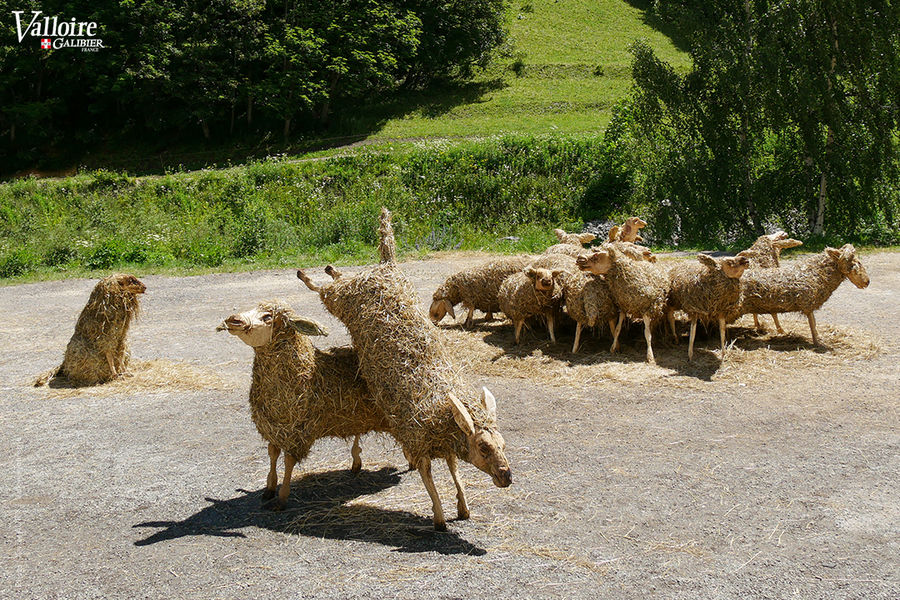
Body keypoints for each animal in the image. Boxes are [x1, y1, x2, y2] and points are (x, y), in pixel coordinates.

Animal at [217, 301, 394, 510]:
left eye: (268, 316)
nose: (233, 319)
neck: (307, 370)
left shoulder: (297, 433)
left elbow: (288, 461)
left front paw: (282, 498)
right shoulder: (274, 430)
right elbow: (272, 454)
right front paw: (269, 489)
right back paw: (356, 463)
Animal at [297, 208, 511, 531]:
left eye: (502, 445)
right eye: (484, 448)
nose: (506, 476)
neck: (440, 407)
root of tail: (386, 266)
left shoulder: (445, 445)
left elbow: (455, 472)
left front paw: (463, 507)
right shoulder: (418, 441)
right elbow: (430, 482)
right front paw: (439, 519)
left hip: (346, 290)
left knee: (337, 277)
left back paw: (330, 266)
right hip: (340, 298)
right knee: (325, 287)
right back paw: (308, 273)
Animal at [738, 244, 869, 346]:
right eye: (853, 263)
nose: (867, 282)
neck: (815, 273)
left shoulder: (810, 306)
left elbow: (814, 323)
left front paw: (818, 339)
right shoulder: (808, 305)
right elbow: (812, 324)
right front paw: (817, 343)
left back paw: (761, 327)